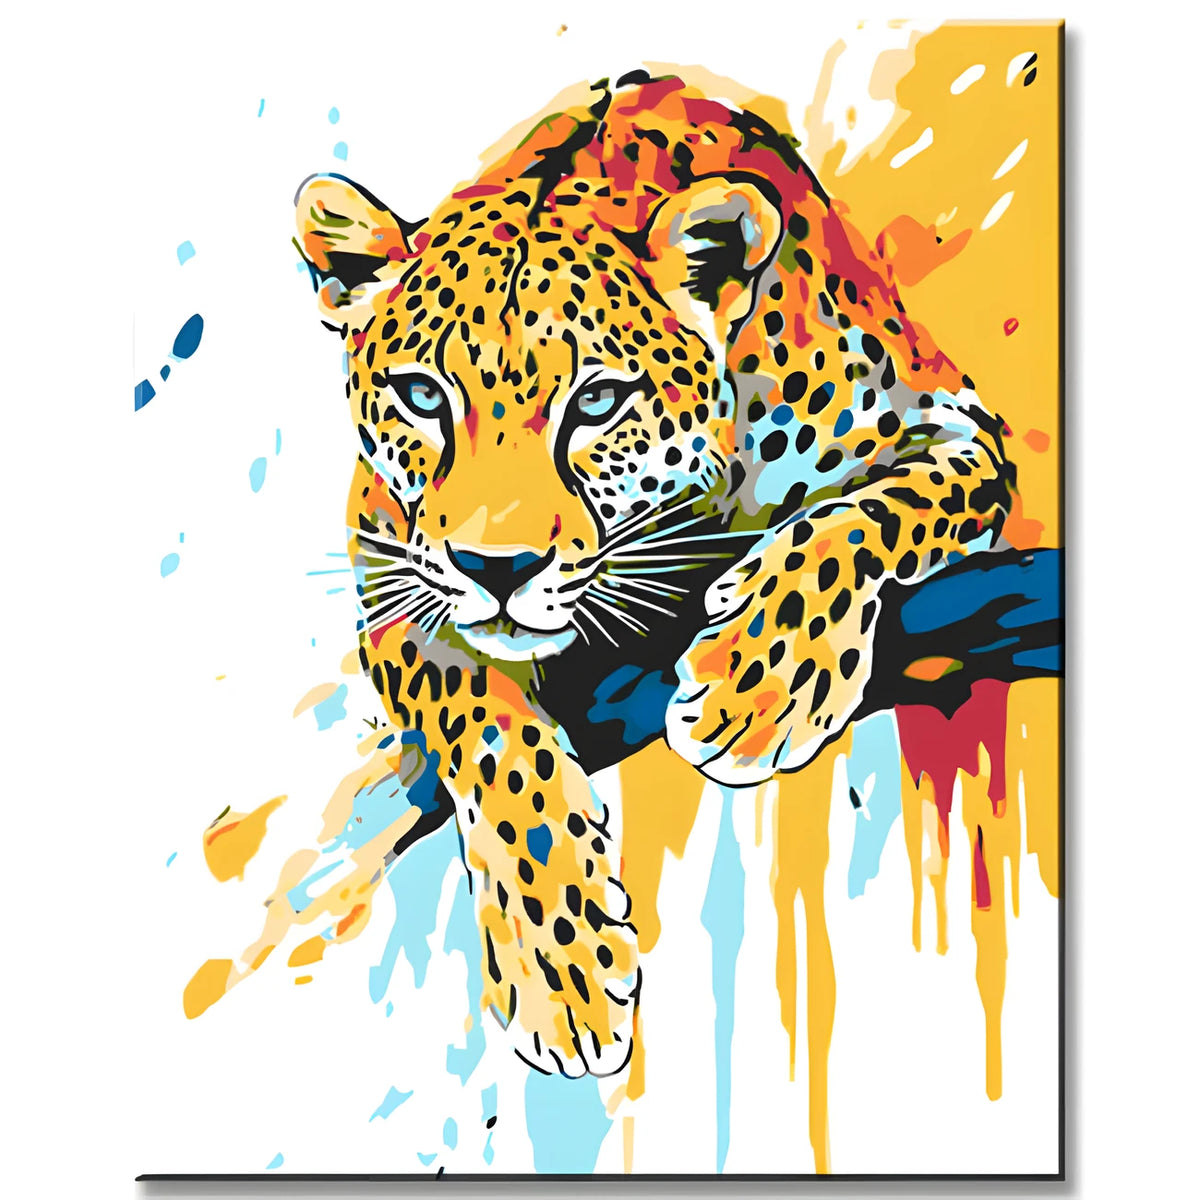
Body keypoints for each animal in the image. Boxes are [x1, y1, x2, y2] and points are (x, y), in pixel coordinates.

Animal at [292, 70, 1014, 1080]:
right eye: (424, 397)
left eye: (597, 400)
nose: (497, 567)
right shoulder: (391, 563)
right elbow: (484, 733)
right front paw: (561, 968)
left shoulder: (954, 428)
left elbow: (865, 518)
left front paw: (755, 686)